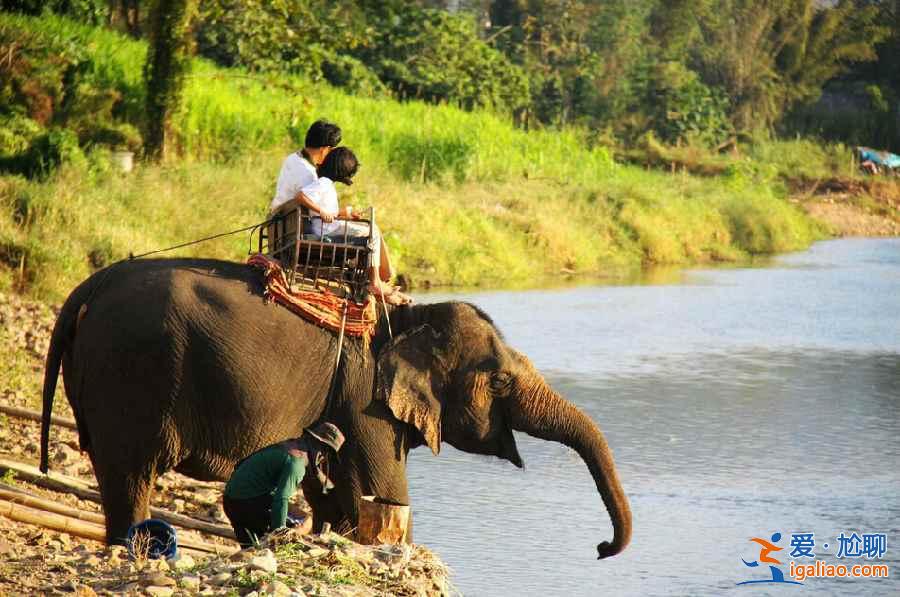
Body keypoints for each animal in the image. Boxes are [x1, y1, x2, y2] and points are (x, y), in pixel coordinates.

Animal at [38, 258, 632, 556]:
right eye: (502, 380)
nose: (602, 548)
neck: (408, 315)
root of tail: (86, 288)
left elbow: (343, 492)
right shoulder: (364, 396)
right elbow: (387, 489)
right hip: (131, 372)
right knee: (131, 474)